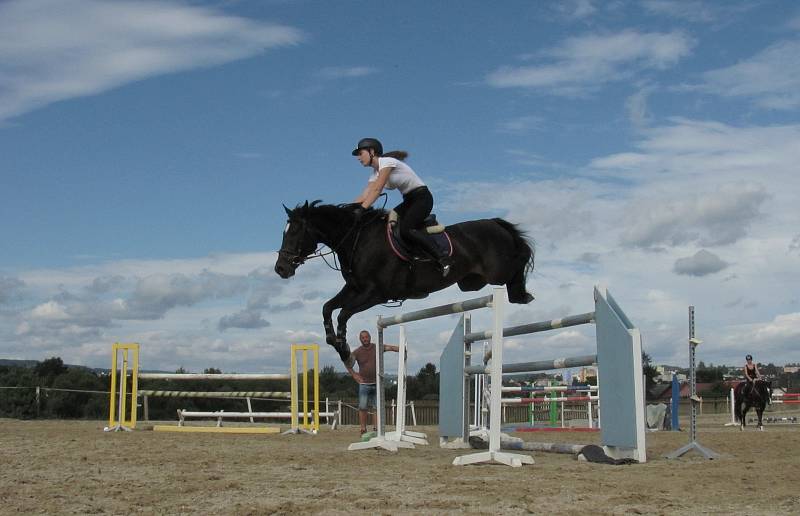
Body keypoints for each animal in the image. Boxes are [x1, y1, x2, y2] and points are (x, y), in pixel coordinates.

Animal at [272, 201, 536, 362]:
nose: (281, 268)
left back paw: (522, 294)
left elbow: (343, 313)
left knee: (520, 259)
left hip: (497, 272)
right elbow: (328, 307)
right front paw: (334, 342)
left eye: (295, 232)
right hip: (472, 282)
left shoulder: (374, 294)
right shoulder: (355, 288)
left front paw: (343, 346)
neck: (357, 240)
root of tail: (495, 222)